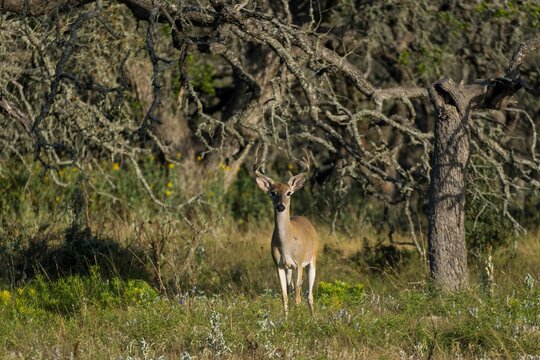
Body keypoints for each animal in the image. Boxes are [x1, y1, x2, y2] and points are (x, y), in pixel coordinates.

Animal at [254, 153, 318, 316]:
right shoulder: (279, 265)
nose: (281, 206)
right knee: (292, 289)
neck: (287, 244)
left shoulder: (299, 263)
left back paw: (313, 316)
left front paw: (299, 316)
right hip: (290, 268)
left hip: (312, 260)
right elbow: (284, 295)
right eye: (273, 193)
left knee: (309, 294)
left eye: (289, 193)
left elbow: (297, 296)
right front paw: (286, 318)